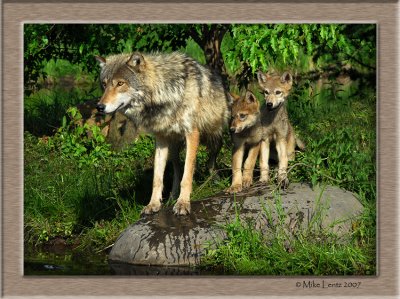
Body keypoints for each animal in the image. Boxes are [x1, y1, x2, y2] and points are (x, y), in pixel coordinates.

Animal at [95, 51, 230, 216]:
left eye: (120, 83)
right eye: (104, 84)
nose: (100, 107)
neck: (164, 93)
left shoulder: (192, 133)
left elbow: (187, 175)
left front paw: (183, 203)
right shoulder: (160, 139)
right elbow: (158, 178)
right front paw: (153, 204)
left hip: (215, 138)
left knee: (210, 162)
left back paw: (215, 179)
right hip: (173, 150)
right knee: (177, 171)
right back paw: (172, 197)